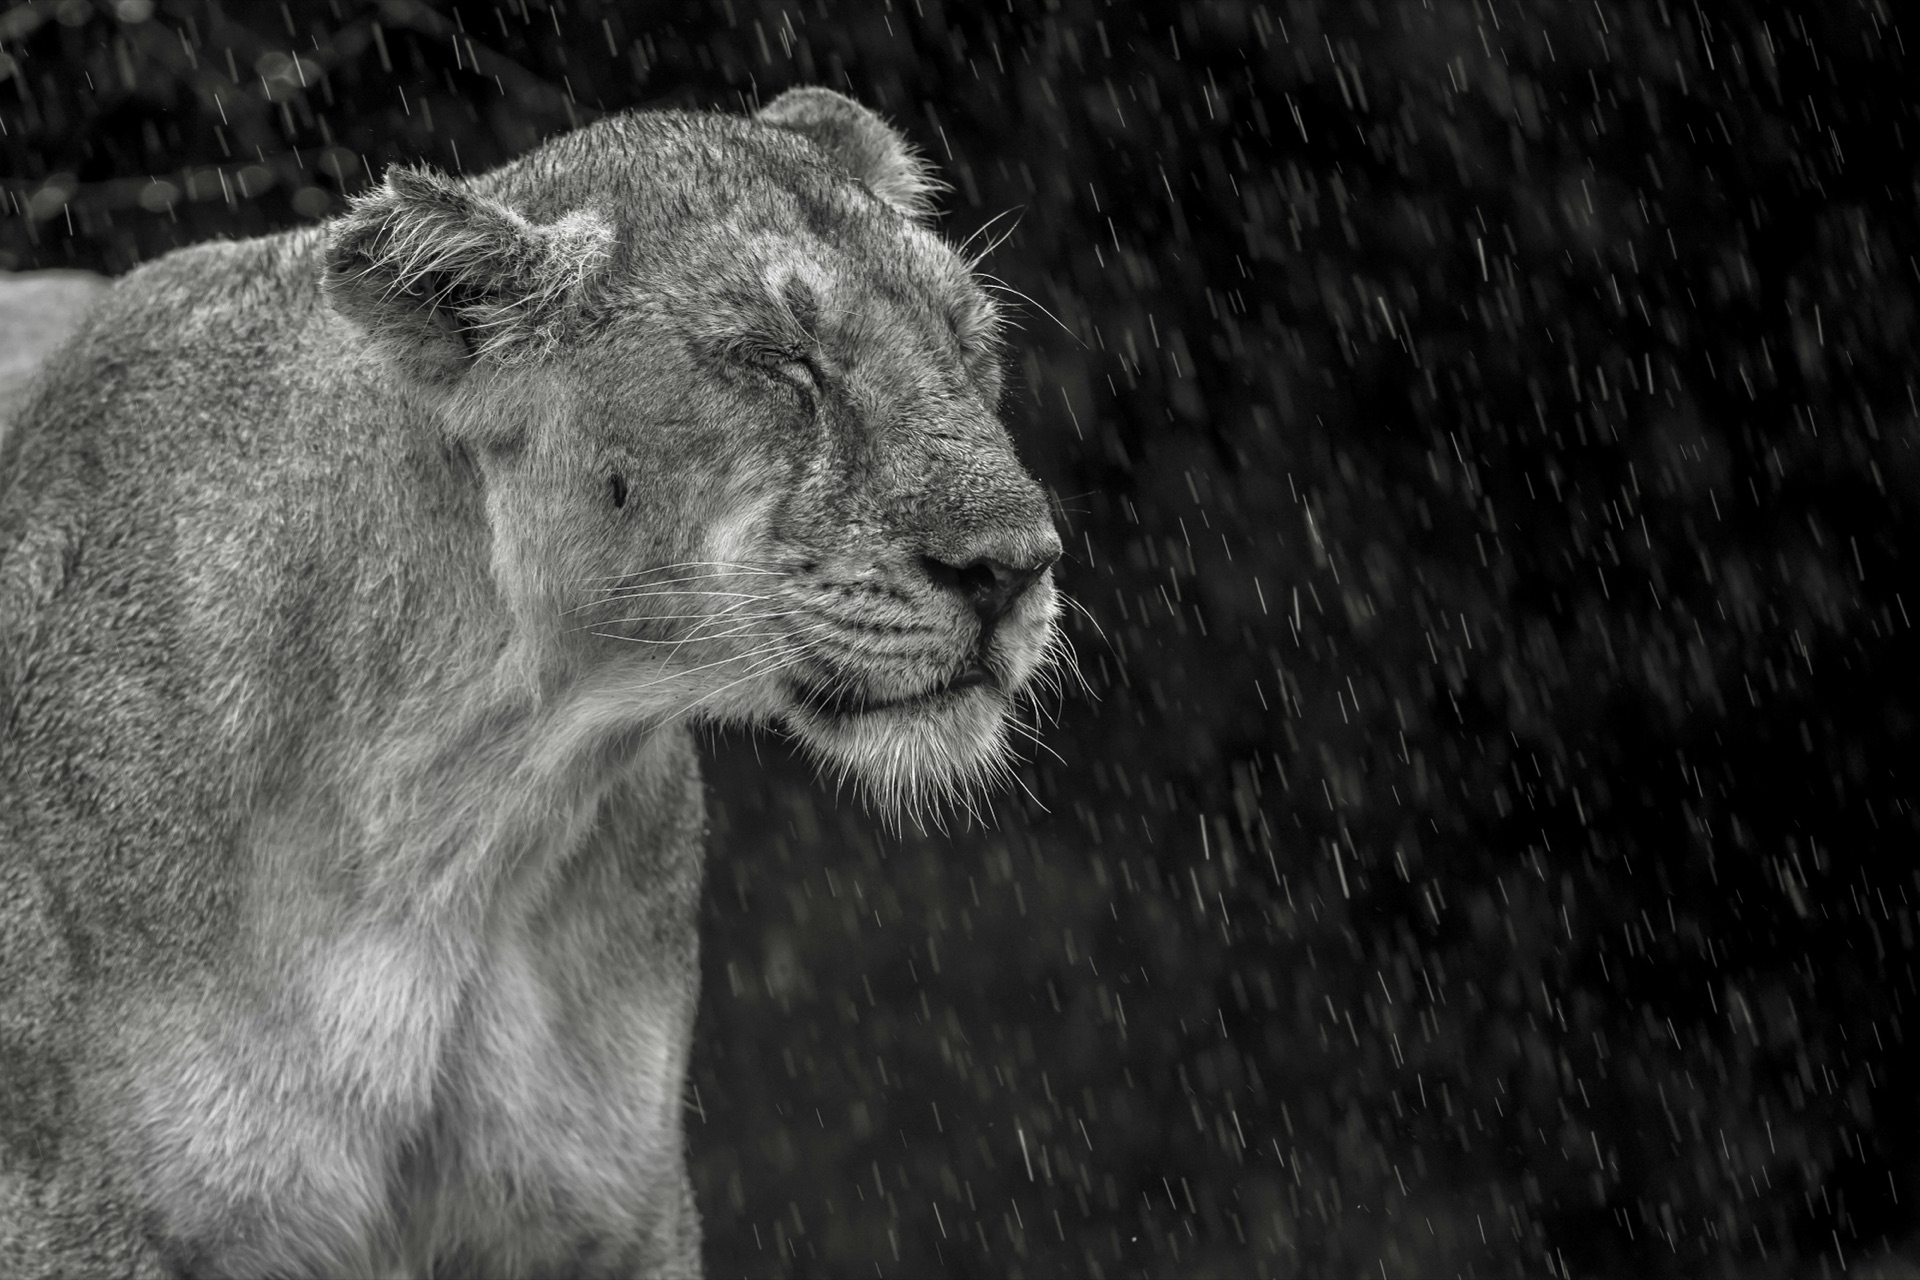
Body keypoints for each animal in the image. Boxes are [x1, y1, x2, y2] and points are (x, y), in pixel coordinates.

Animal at [0, 87, 1063, 1278]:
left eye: (968, 343)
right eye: (775, 357)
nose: (1016, 565)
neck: (461, 817)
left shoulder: (615, 1213)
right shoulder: (84, 1218)